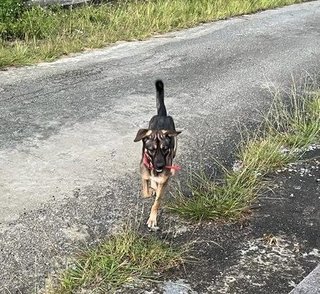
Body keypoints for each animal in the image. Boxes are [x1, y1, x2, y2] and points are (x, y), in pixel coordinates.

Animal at [134, 80, 181, 230]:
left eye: (165, 148)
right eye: (151, 149)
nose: (160, 165)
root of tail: (162, 115)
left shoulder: (164, 180)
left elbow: (156, 202)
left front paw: (152, 219)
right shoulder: (144, 175)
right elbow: (147, 191)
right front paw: (151, 189)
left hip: (175, 147)